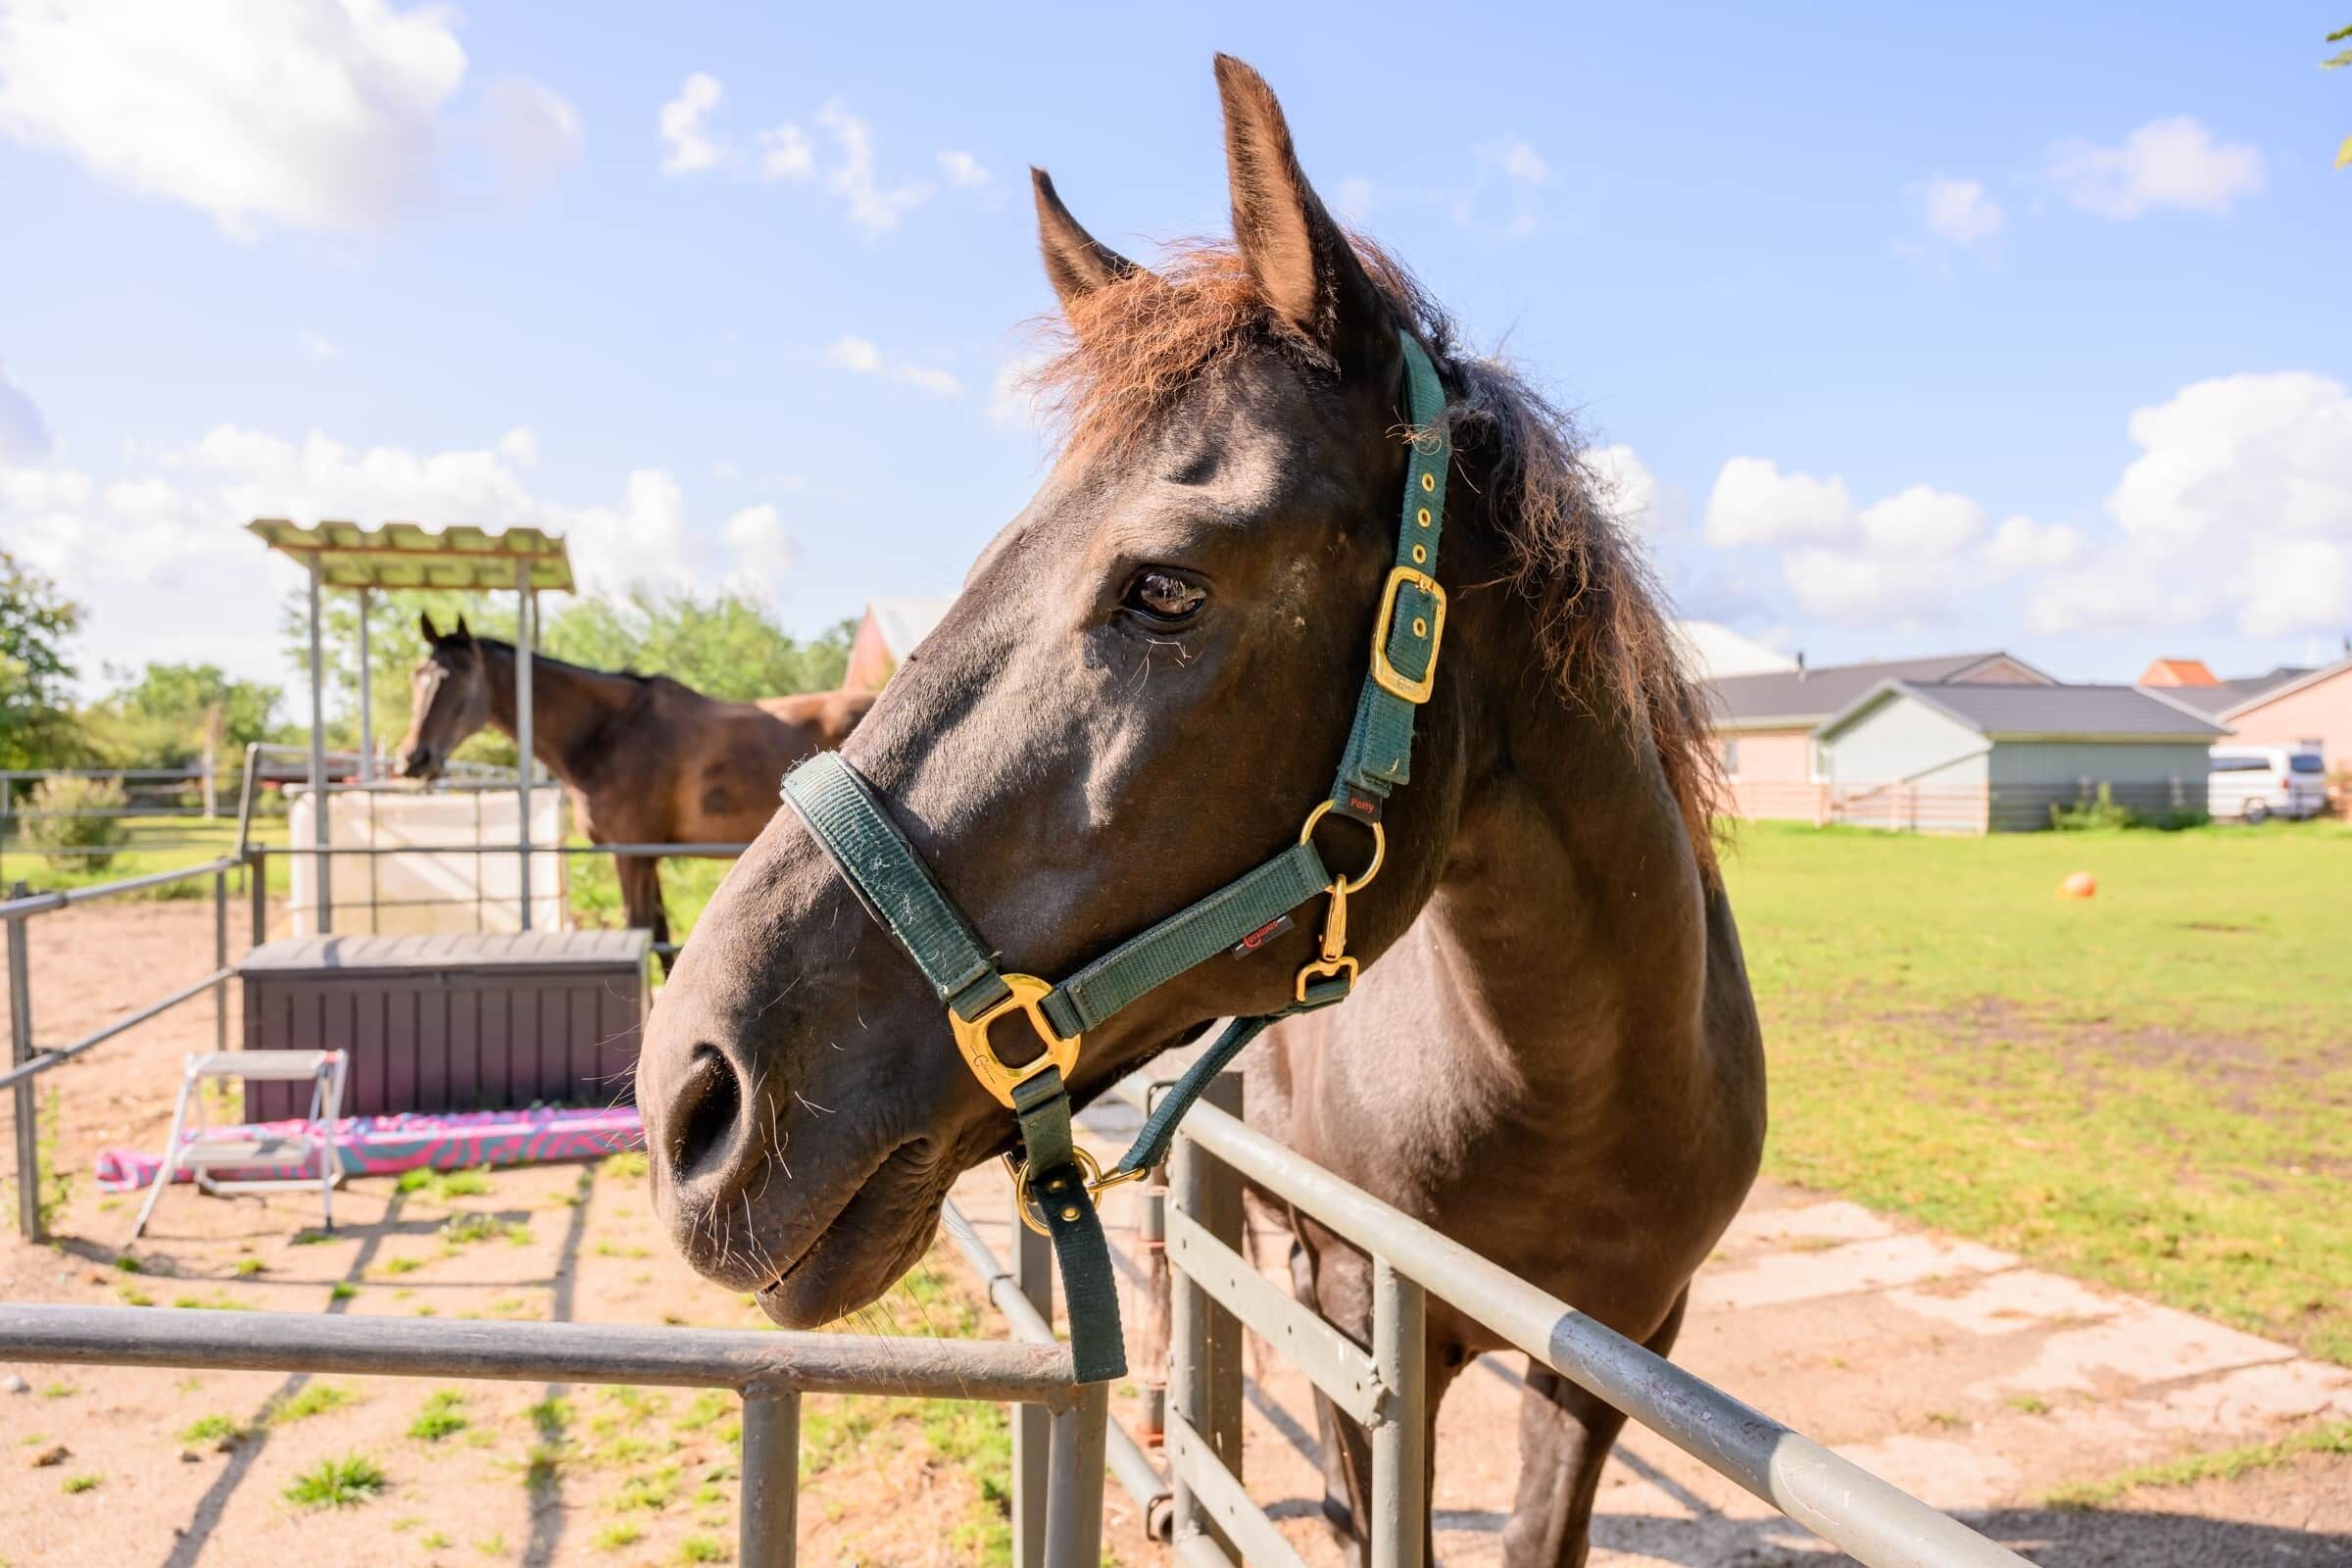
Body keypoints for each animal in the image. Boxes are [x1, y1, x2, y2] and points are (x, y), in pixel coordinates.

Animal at [395, 614, 872, 947]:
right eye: (417, 676)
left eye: (460, 679)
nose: (414, 758)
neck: (608, 732)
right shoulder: (648, 857)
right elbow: (658, 942)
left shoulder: (630, 855)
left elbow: (642, 931)